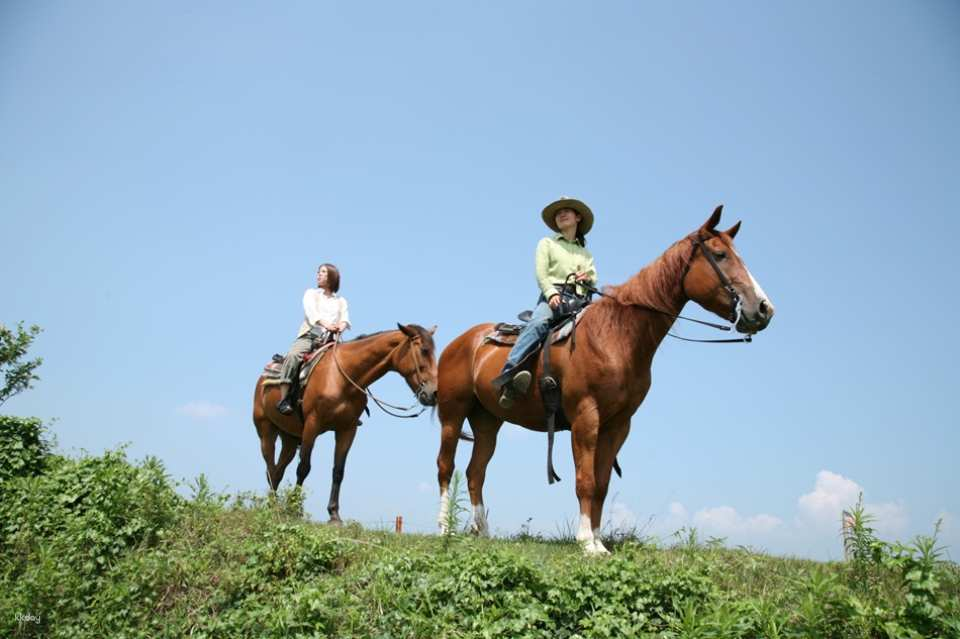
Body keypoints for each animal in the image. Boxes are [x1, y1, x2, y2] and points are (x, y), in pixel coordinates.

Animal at [253, 323, 438, 523]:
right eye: (423, 350)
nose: (434, 393)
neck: (342, 378)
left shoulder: (347, 430)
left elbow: (338, 471)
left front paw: (334, 515)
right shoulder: (312, 425)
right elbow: (304, 468)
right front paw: (295, 510)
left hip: (290, 438)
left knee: (277, 470)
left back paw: (273, 507)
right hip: (266, 431)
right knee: (270, 467)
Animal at [434, 206, 775, 554]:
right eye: (720, 255)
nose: (763, 308)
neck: (616, 336)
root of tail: (462, 341)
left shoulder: (618, 424)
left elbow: (601, 484)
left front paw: (599, 542)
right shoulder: (586, 417)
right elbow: (585, 480)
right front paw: (586, 542)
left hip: (487, 421)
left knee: (476, 472)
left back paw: (482, 531)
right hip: (453, 414)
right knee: (446, 467)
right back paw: (444, 528)